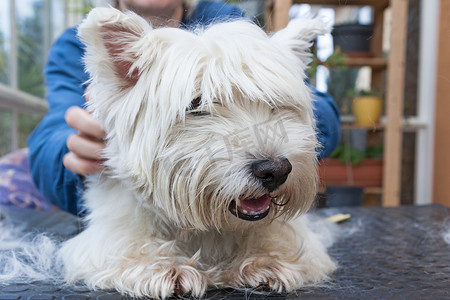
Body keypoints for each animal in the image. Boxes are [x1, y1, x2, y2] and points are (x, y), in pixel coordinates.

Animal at [59, 8, 334, 298]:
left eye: (275, 104)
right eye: (196, 104)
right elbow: (130, 246)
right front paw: (165, 267)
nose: (275, 170)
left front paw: (265, 259)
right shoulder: (108, 236)